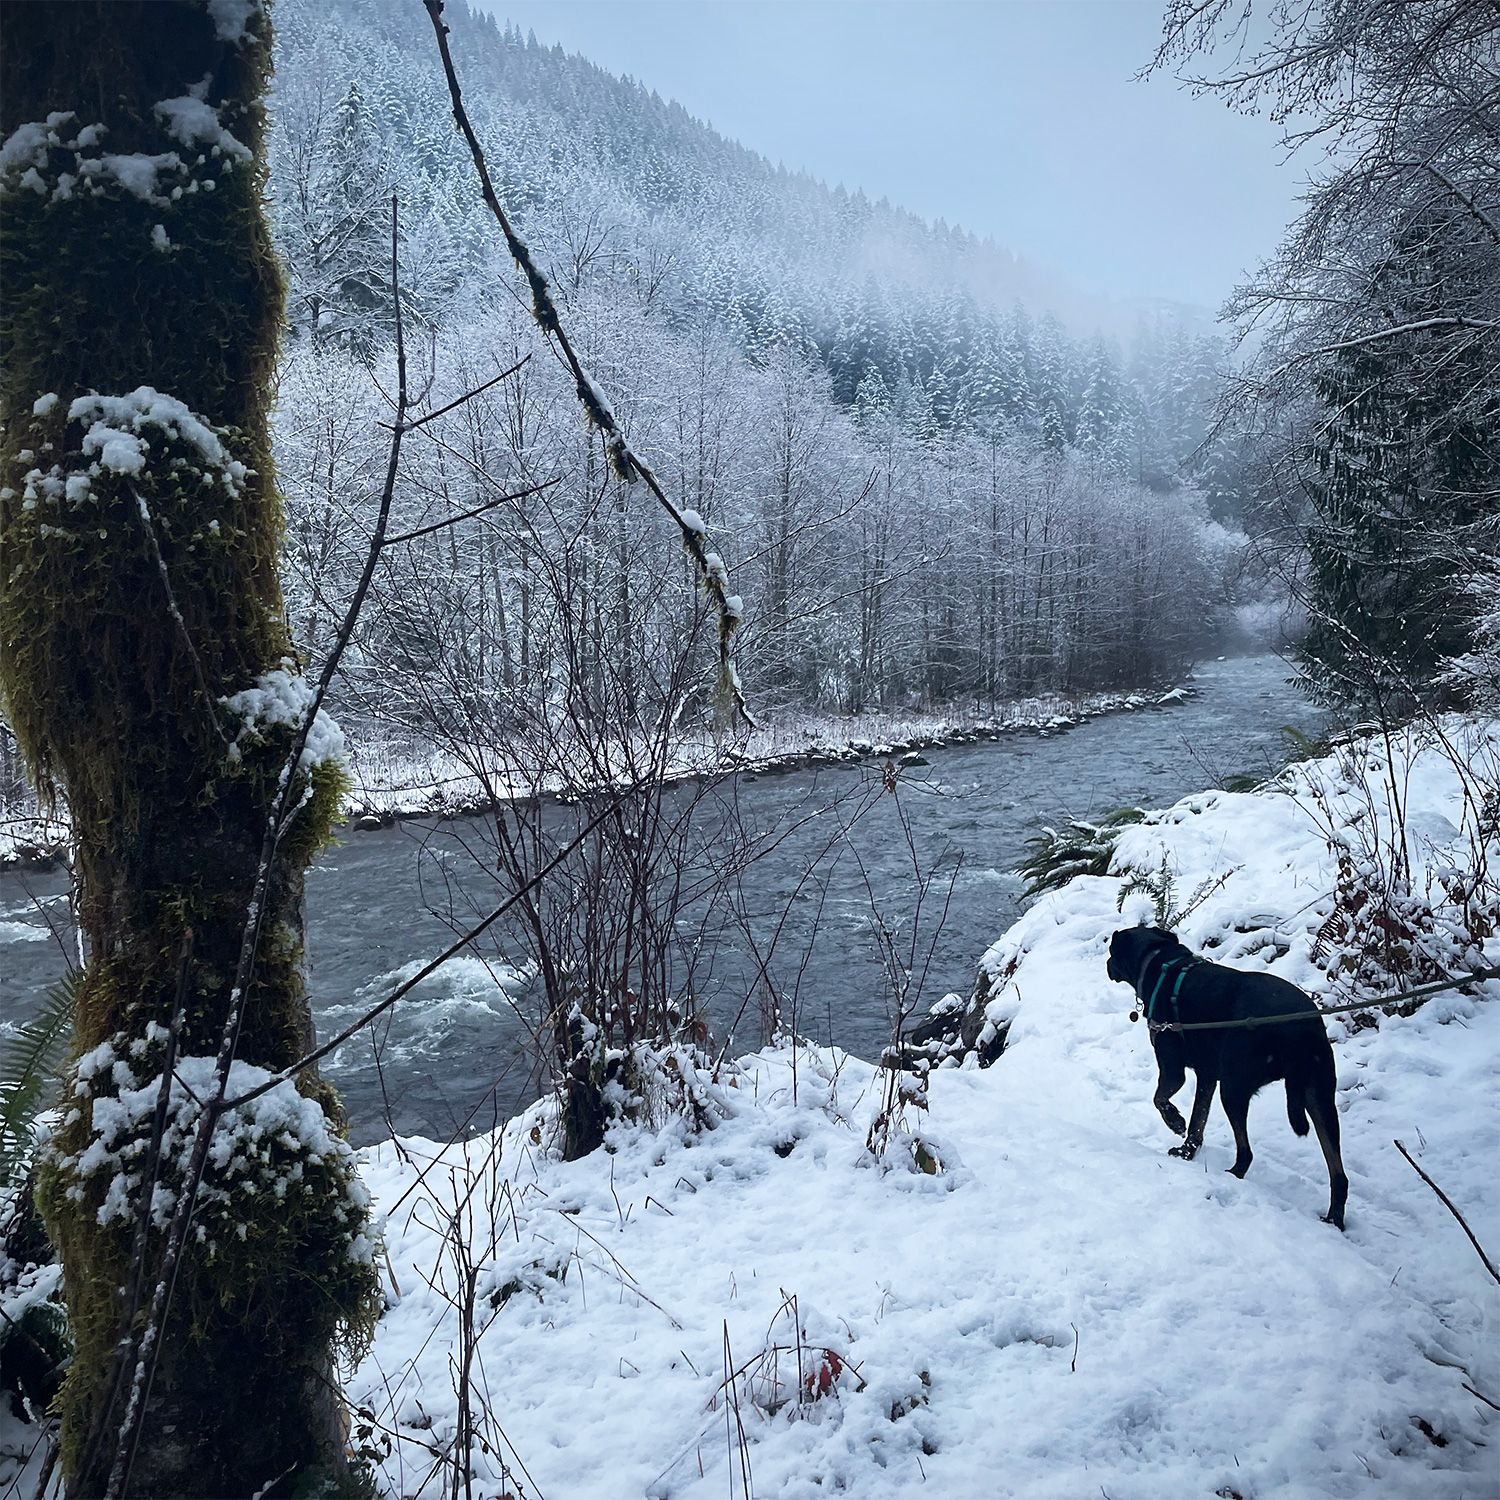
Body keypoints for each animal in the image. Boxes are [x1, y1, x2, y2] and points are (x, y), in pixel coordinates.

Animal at [1104, 924, 1350, 1230]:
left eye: (1111, 952)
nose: (1106, 965)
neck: (1158, 960)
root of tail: (1299, 1028)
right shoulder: (1208, 1075)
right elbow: (1197, 1122)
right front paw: (1186, 1152)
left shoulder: (1173, 1070)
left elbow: (1161, 1100)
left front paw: (1175, 1122)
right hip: (1319, 1096)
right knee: (1338, 1174)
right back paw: (1334, 1219)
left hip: (1234, 1087)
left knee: (1246, 1152)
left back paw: (1233, 1174)